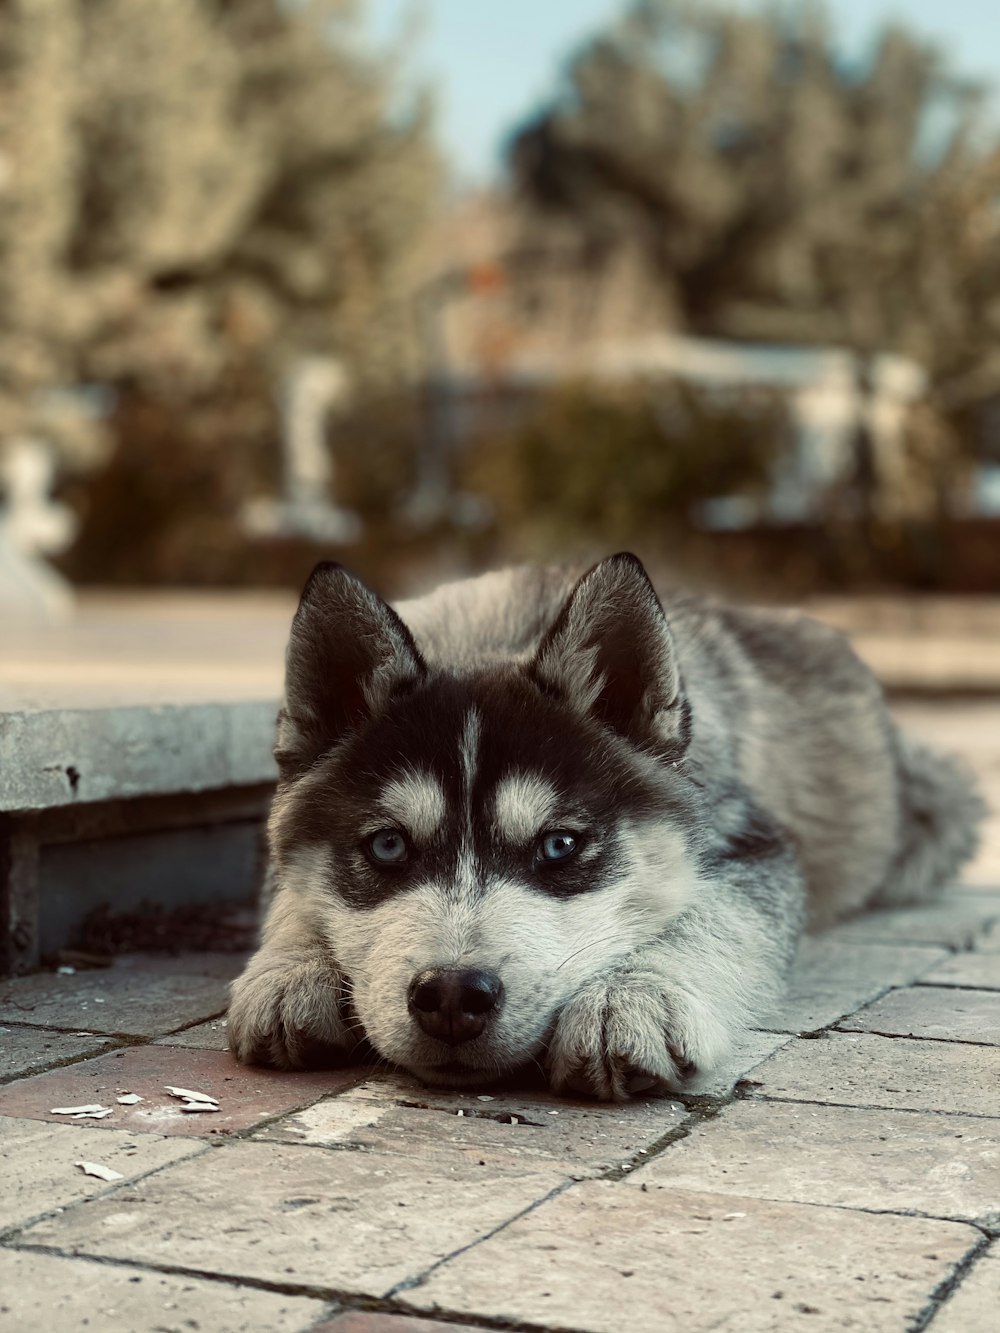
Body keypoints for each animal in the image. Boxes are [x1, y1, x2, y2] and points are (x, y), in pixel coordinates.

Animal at [225, 557, 981, 1098]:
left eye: (560, 845)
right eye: (387, 845)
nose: (453, 995)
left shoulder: (753, 844)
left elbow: (712, 913)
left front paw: (632, 997)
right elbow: (293, 898)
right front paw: (290, 972)